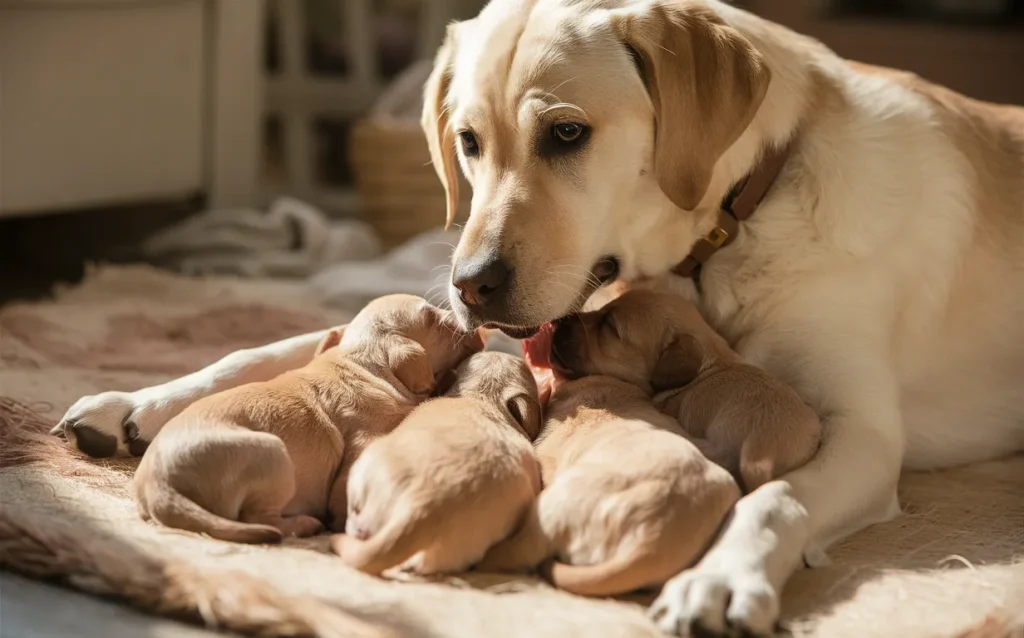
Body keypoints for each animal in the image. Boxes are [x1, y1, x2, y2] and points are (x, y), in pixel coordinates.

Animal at [134, 294, 481, 544]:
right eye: (434, 319)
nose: (476, 326)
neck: (362, 362)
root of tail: (158, 486)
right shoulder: (363, 440)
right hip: (272, 455)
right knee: (257, 519)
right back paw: (304, 525)